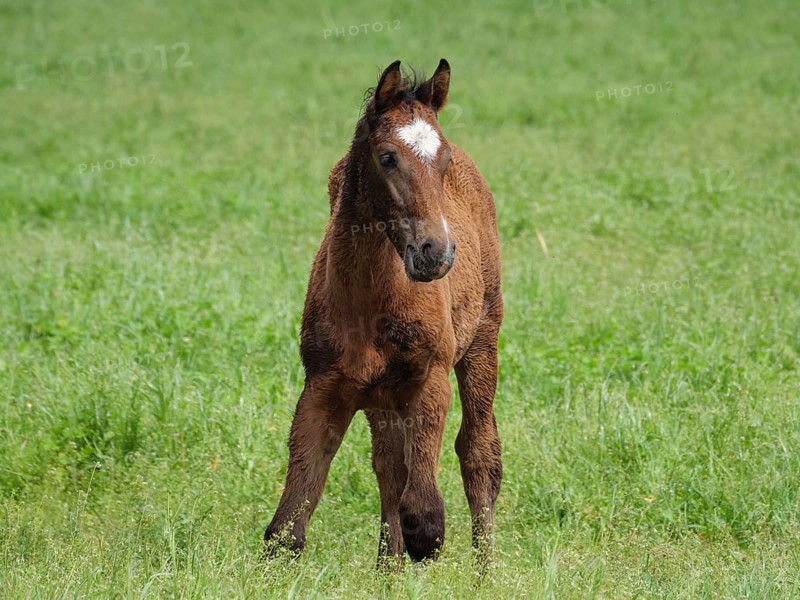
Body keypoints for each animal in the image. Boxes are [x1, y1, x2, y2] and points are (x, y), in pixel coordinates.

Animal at [263, 58, 503, 565]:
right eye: (388, 157)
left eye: (443, 161)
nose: (436, 253)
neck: (370, 304)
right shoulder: (323, 388)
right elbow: (285, 530)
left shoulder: (429, 379)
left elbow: (426, 521)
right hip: (379, 395)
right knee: (389, 468)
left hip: (482, 339)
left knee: (479, 456)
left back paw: (486, 572)